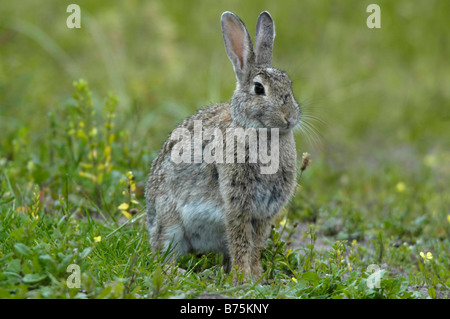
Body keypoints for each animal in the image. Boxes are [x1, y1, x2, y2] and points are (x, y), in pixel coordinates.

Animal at [146, 10, 300, 282]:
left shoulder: (264, 214)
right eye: (259, 88)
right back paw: (181, 273)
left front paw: (257, 277)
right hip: (170, 223)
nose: (290, 117)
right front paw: (244, 279)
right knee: (160, 257)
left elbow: (255, 246)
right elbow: (241, 243)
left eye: (289, 84)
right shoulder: (237, 205)